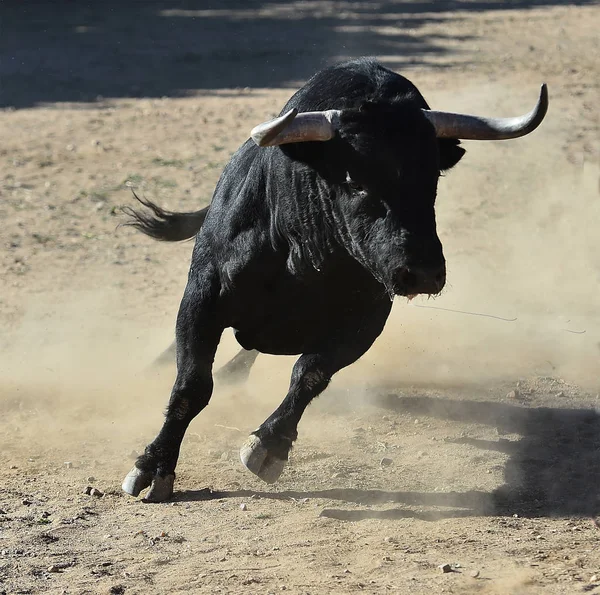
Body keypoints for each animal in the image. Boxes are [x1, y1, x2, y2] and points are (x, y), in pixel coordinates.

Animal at [119, 58, 548, 500]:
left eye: (432, 181)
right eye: (354, 182)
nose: (423, 273)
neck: (303, 260)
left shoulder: (366, 321)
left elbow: (310, 373)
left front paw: (269, 446)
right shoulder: (203, 297)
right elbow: (191, 385)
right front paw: (153, 466)